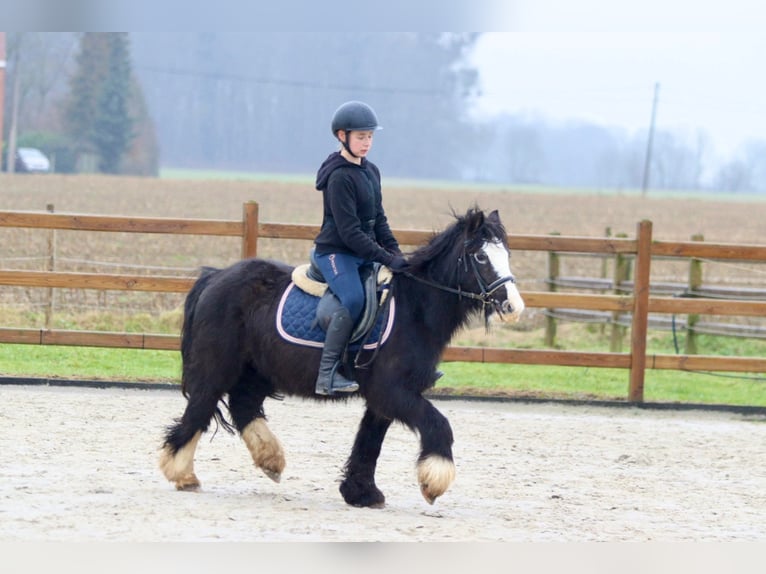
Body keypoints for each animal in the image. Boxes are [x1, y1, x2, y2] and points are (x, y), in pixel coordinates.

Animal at [159, 208, 524, 508]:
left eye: (506, 254)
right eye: (480, 256)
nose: (513, 307)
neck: (414, 309)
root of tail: (215, 277)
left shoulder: (385, 398)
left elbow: (369, 442)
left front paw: (361, 493)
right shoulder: (392, 392)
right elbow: (438, 424)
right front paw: (435, 481)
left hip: (258, 371)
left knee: (243, 406)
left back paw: (270, 460)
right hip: (216, 367)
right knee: (200, 409)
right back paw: (181, 472)